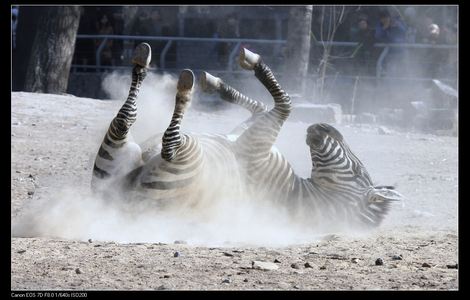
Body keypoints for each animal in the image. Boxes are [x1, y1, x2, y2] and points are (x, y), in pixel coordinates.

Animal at [199, 48, 404, 229]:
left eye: (358, 171)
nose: (324, 126)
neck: (298, 192)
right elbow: (266, 105)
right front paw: (221, 84)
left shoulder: (255, 144)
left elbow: (286, 103)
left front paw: (255, 62)